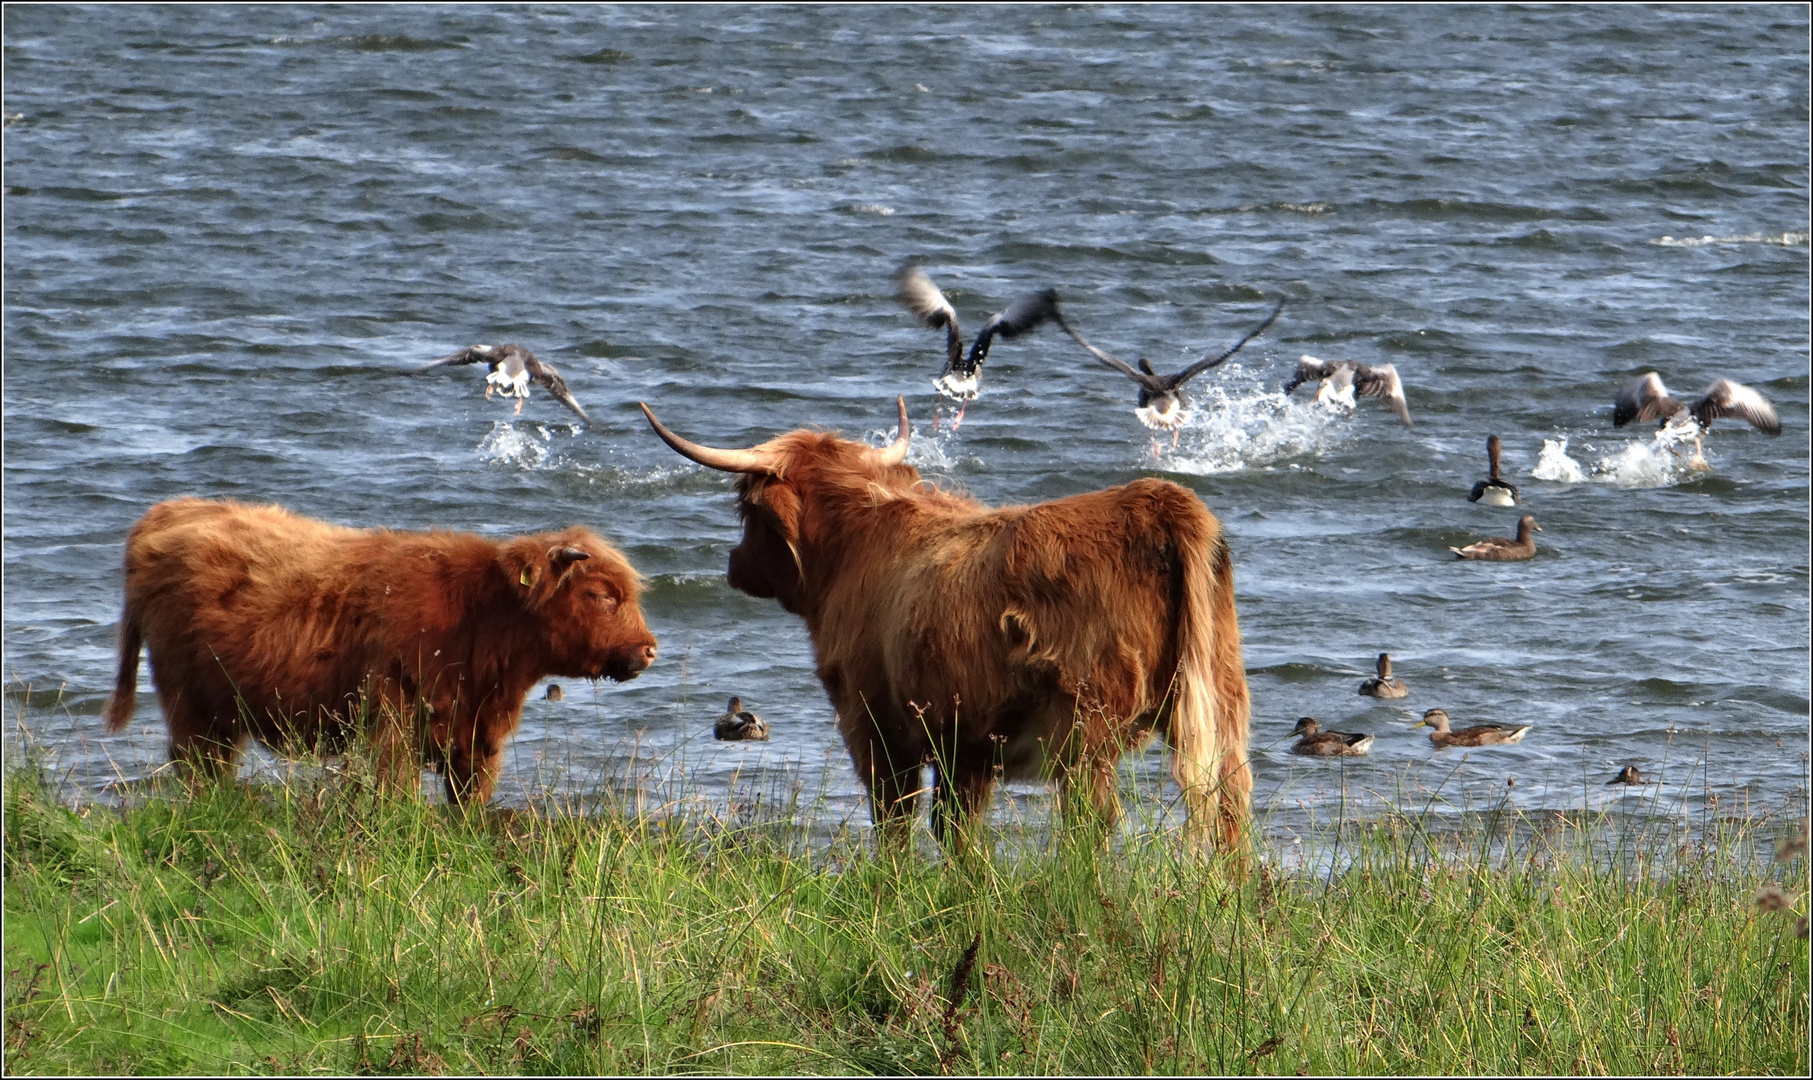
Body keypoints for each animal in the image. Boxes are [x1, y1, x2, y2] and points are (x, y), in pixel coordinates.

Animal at [106, 496, 659, 800]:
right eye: (602, 595)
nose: (650, 649)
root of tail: (169, 511)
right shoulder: (391, 725)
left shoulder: (477, 741)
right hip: (188, 704)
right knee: (194, 766)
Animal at [638, 400, 1247, 848]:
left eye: (745, 510)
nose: (734, 563)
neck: (855, 546)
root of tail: (1158, 501)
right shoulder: (967, 745)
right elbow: (956, 831)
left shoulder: (874, 726)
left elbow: (896, 820)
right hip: (1222, 701)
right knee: (1230, 804)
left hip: (1086, 729)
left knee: (1093, 819)